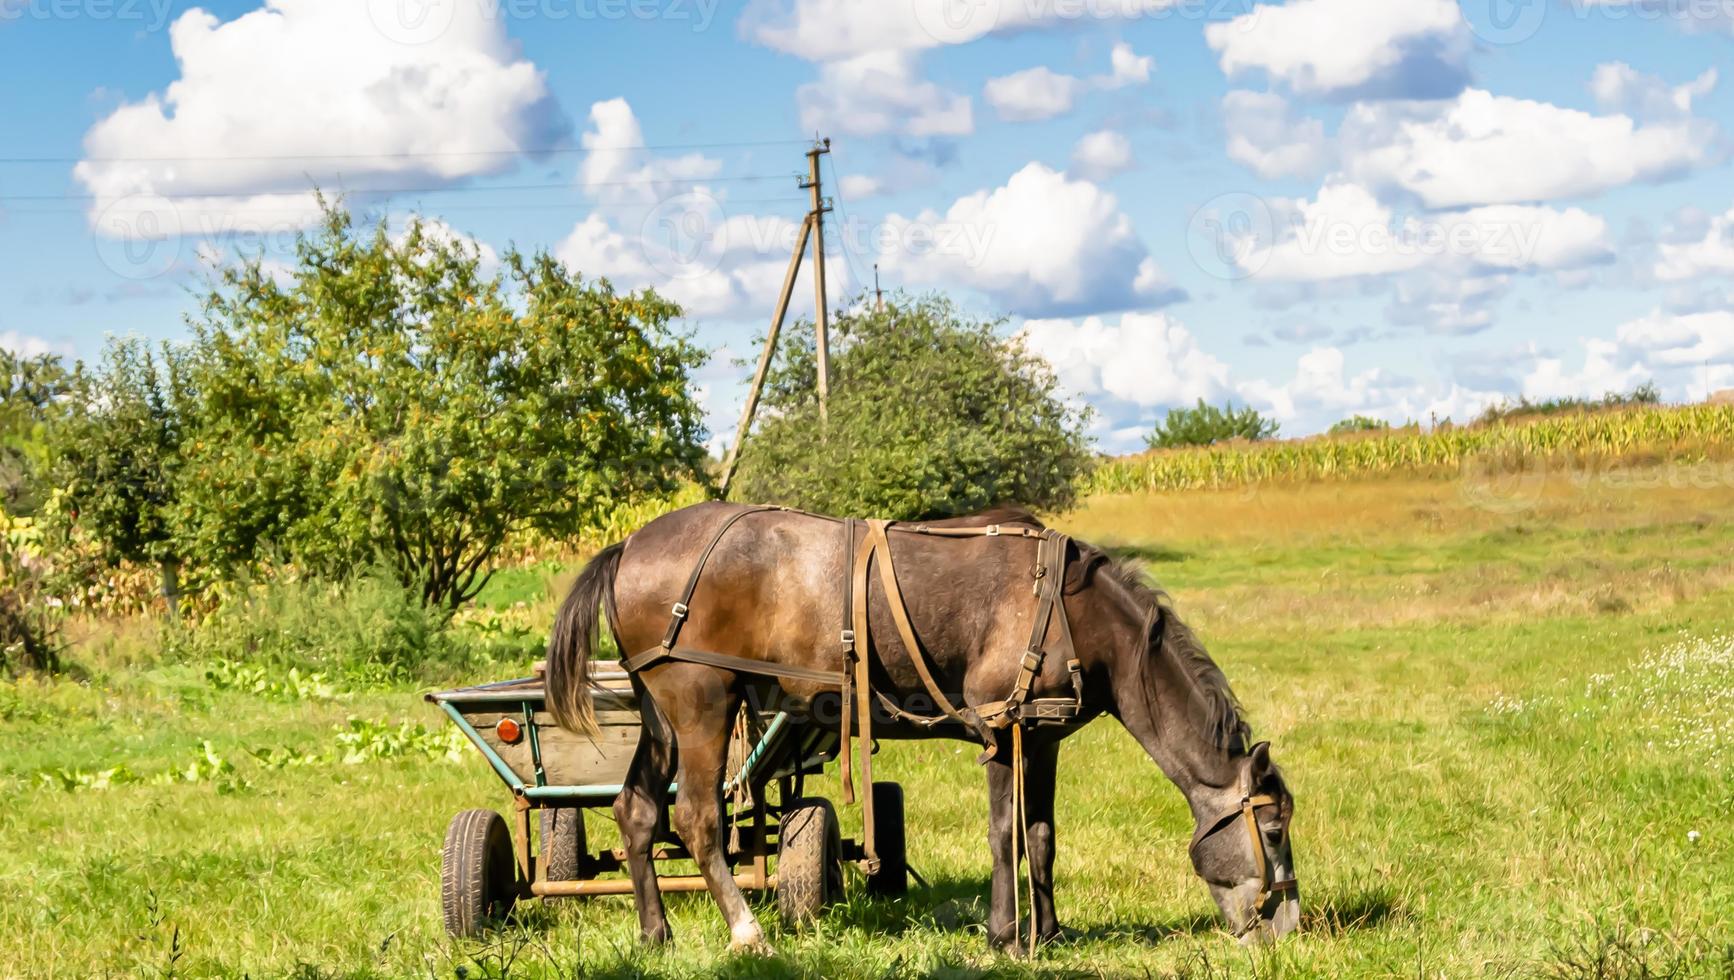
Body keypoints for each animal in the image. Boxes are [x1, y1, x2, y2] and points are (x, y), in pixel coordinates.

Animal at [547, 499, 1297, 950]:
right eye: (1272, 831)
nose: (1288, 929)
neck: (1069, 612)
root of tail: (630, 545)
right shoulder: (1003, 735)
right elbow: (1004, 835)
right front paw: (1005, 935)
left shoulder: (1042, 740)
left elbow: (1042, 836)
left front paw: (1050, 932)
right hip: (702, 705)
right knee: (699, 820)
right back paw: (747, 931)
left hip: (660, 719)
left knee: (637, 812)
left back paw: (656, 933)